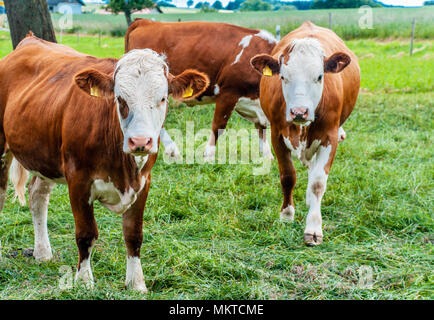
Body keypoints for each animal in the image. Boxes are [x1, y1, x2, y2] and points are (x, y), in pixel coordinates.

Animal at [0, 33, 209, 292]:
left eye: (162, 98)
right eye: (120, 98)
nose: (140, 141)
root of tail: (30, 40)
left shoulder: (143, 182)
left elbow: (133, 234)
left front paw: (136, 283)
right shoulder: (78, 180)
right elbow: (86, 233)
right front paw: (84, 281)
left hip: (44, 155)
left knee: (37, 195)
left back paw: (43, 253)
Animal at [124, 18, 278, 161]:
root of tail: (145, 21)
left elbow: (261, 128)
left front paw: (267, 155)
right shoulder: (228, 93)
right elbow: (218, 125)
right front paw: (208, 155)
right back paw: (171, 150)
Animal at [251, 21, 360, 246]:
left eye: (319, 76)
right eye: (283, 77)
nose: (299, 111)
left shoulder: (330, 138)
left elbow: (318, 183)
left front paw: (314, 228)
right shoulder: (277, 135)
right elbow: (287, 176)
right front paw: (286, 215)